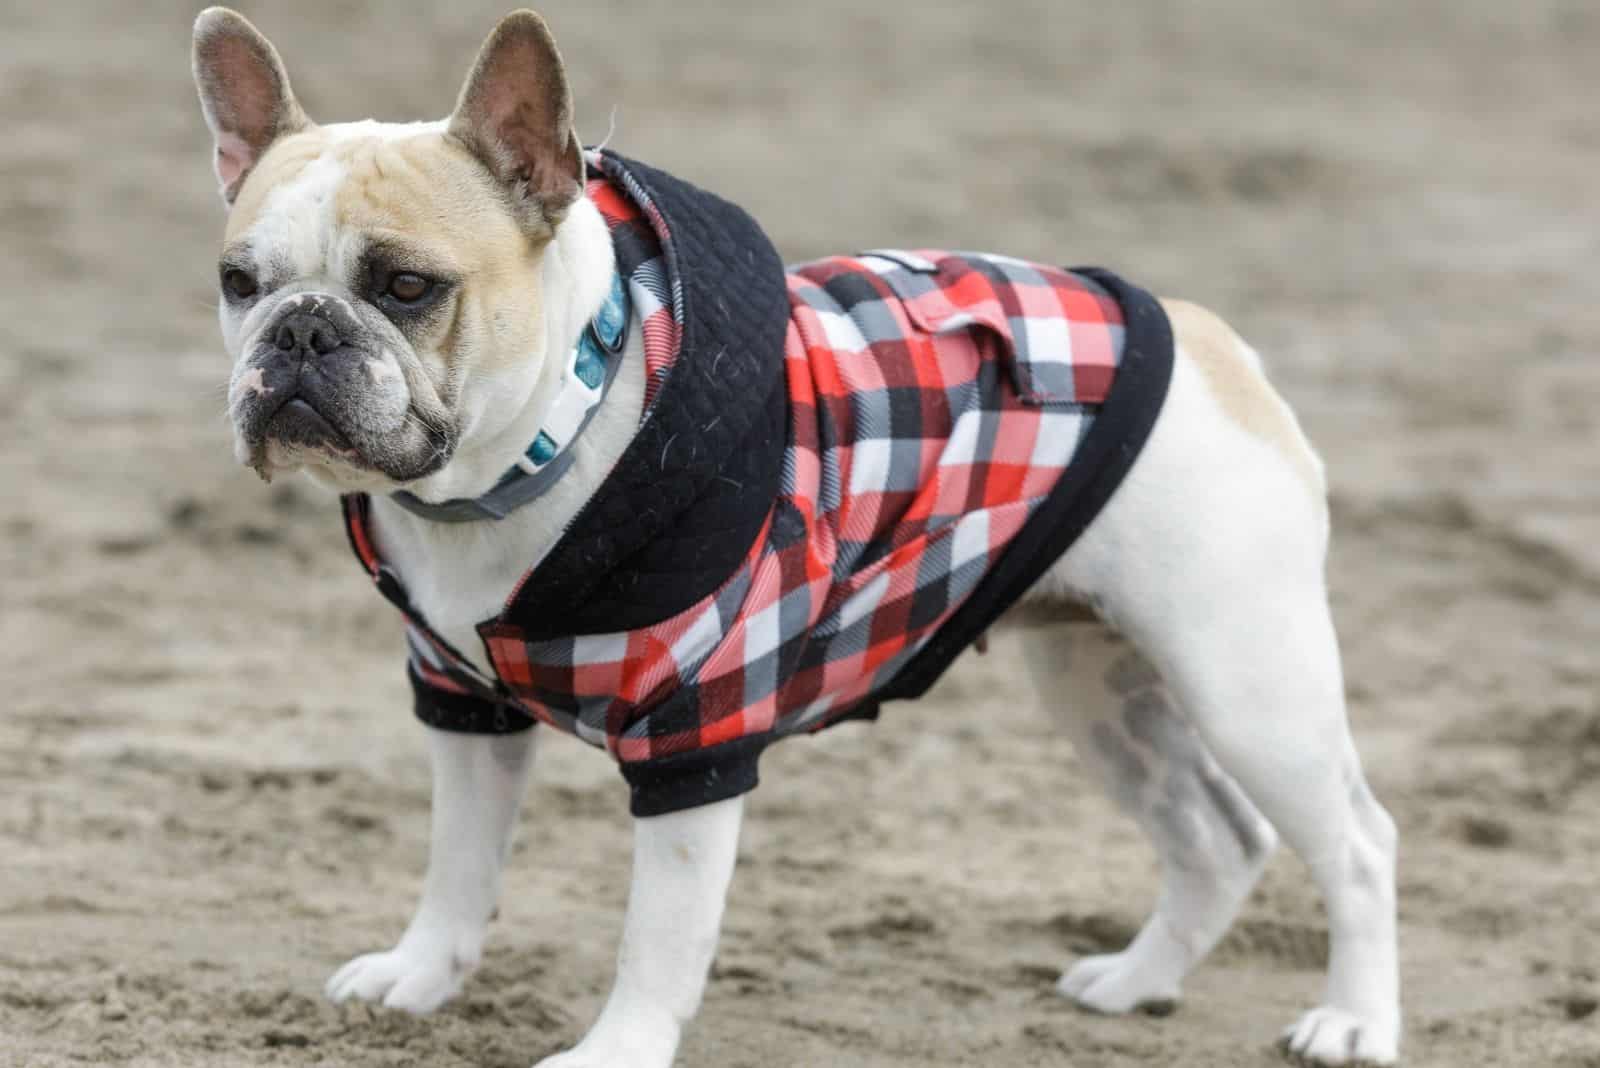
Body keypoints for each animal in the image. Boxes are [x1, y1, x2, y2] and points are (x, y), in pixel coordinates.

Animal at [193, 10, 1401, 1068]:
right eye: (238, 282)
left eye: (407, 286)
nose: (300, 331)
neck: (541, 445)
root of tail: (1205, 338)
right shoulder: (465, 710)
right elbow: (458, 866)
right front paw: (419, 977)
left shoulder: (694, 738)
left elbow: (658, 938)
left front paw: (617, 1050)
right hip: (1098, 684)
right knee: (1213, 839)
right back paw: (1139, 982)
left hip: (1244, 680)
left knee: (1356, 846)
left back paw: (1351, 1022)